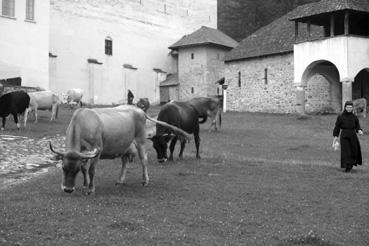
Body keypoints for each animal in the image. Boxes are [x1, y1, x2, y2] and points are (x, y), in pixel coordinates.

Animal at [49, 104, 188, 194]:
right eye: (63, 167)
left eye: (75, 170)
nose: (68, 189)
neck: (82, 122)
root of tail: (139, 110)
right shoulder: (83, 153)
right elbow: (85, 169)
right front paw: (85, 185)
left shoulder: (97, 150)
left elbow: (91, 170)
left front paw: (91, 189)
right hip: (124, 145)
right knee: (125, 162)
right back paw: (120, 180)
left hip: (140, 140)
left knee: (144, 159)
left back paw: (145, 181)